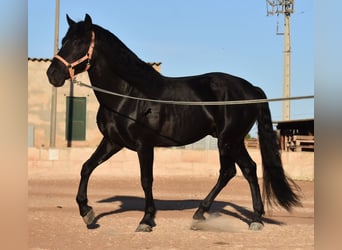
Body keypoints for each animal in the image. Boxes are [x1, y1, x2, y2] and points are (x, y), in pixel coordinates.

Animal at [46, 14, 300, 232]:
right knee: (238, 171)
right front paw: (86, 212)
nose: (52, 74)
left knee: (240, 170)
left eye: (79, 42)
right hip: (230, 141)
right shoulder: (112, 142)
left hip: (230, 140)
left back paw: (250, 218)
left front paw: (146, 220)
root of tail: (251, 89)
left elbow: (146, 180)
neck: (128, 94)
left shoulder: (144, 145)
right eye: (63, 40)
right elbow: (86, 167)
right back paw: (208, 215)